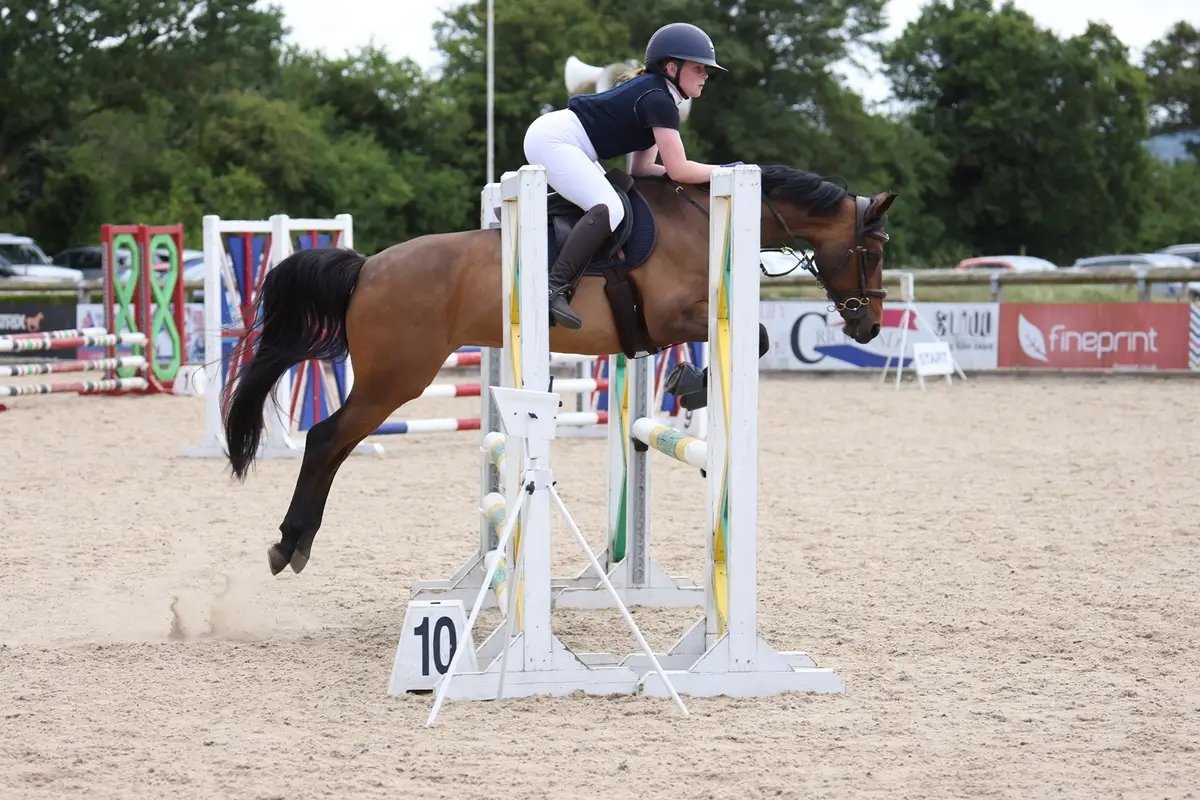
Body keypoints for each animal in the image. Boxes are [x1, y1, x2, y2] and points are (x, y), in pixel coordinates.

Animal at [222, 165, 895, 575]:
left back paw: (296, 541)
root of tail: (365, 268)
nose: (868, 326)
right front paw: (689, 384)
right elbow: (755, 336)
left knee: (335, 444)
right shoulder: (681, 314)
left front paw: (686, 385)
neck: (704, 220)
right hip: (396, 379)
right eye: (873, 250)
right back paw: (289, 543)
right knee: (326, 438)